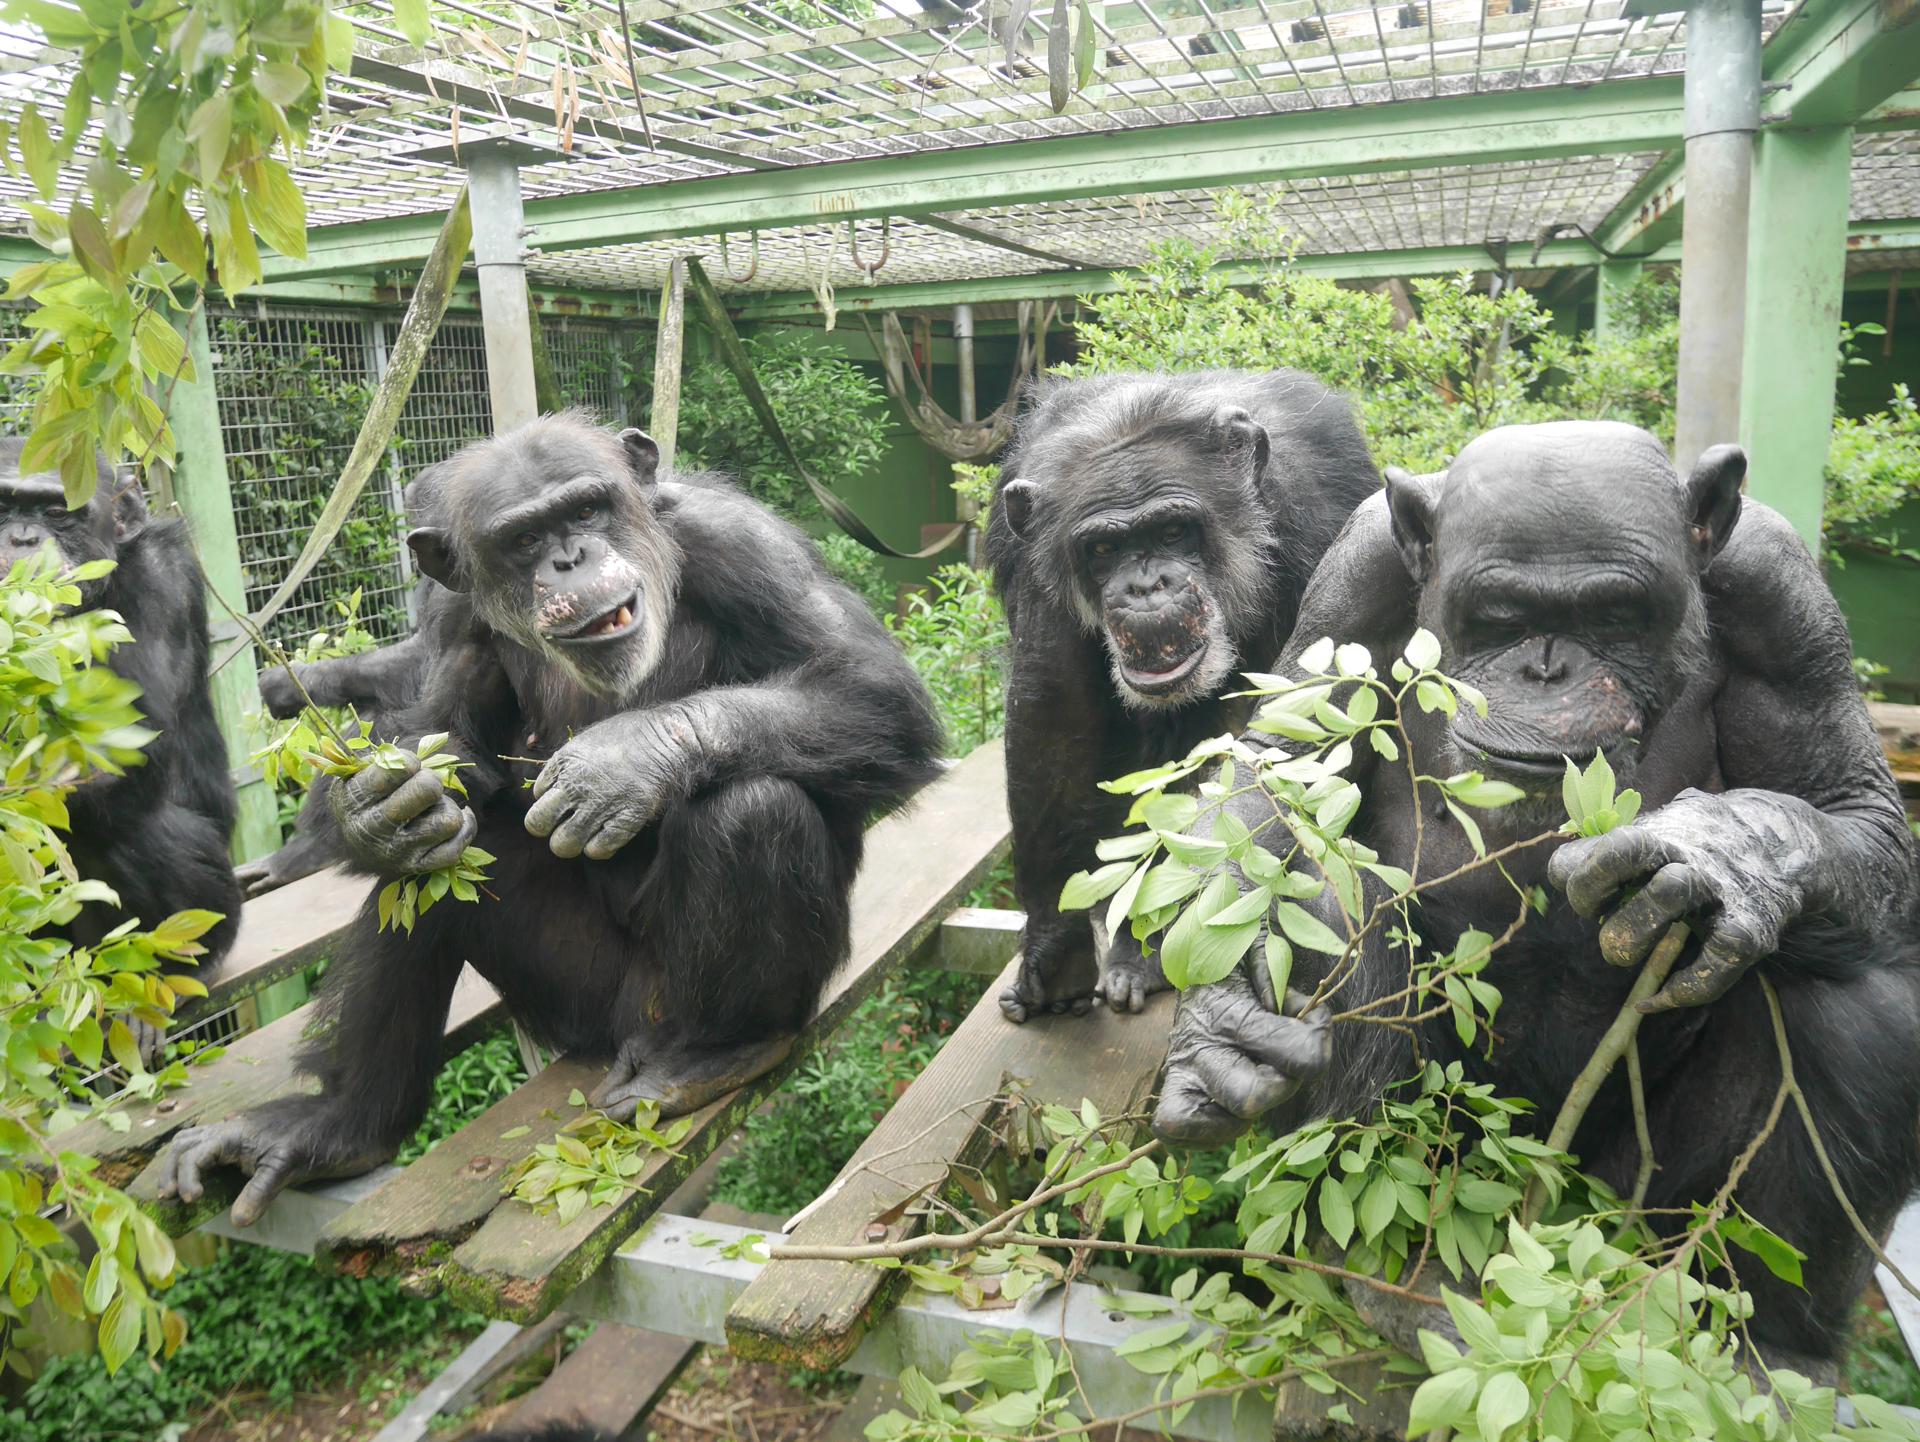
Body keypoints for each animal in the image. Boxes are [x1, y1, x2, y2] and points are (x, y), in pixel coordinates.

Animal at [161, 414, 940, 1228]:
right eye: (525, 539)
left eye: (587, 509)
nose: (571, 558)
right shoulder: (451, 612)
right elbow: (444, 740)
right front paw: (372, 808)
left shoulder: (743, 542)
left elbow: (870, 686)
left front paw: (624, 761)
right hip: (576, 1003)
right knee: (432, 875)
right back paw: (339, 1125)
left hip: (681, 1001)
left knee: (755, 809)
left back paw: (716, 1052)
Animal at [990, 372, 1382, 1029]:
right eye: (1103, 550)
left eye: (1174, 532)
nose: (1148, 586)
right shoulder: (1034, 563)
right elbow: (1052, 712)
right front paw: (1055, 953)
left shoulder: (1318, 513)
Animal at [1152, 422, 1920, 1382]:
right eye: (1502, 619)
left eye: (1615, 616)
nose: (1547, 668)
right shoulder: (1353, 576)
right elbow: (1281, 767)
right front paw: (1218, 1028)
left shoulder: (1783, 598)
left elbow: (1852, 804)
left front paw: (1723, 853)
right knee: (1329, 911)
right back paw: (1397, 1276)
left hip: (1622, 1212)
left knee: (1859, 1011)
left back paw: (1773, 1349)